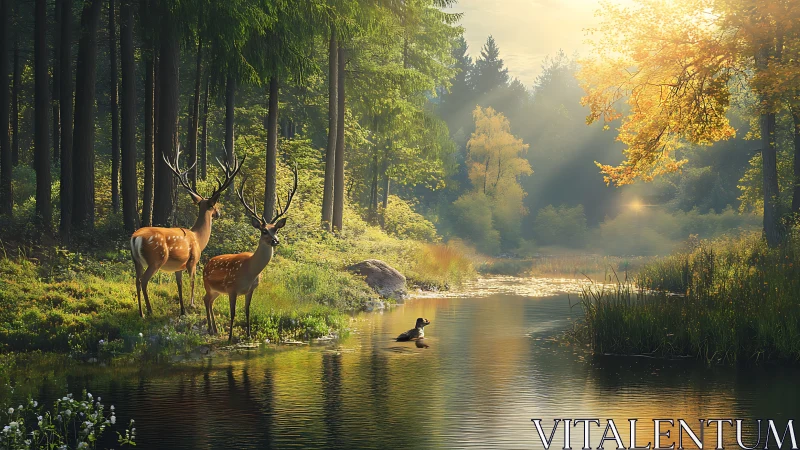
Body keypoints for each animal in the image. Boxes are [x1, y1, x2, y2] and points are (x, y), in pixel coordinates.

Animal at [130, 145, 243, 318]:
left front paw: (182, 309)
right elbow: (192, 282)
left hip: (136, 260)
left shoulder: (179, 267)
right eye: (214, 206)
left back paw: (141, 312)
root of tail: (135, 238)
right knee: (143, 280)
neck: (199, 239)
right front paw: (192, 305)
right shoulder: (193, 261)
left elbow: (179, 285)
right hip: (155, 259)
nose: (218, 213)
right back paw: (149, 310)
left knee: (136, 280)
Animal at [202, 165, 298, 342]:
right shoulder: (232, 288)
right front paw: (230, 337)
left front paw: (249, 335)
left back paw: (214, 329)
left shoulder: (251, 289)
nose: (275, 241)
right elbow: (233, 313)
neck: (249, 272)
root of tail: (207, 263)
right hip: (208, 284)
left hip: (217, 290)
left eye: (276, 229)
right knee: (206, 300)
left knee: (209, 300)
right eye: (264, 231)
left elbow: (247, 311)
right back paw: (211, 329)